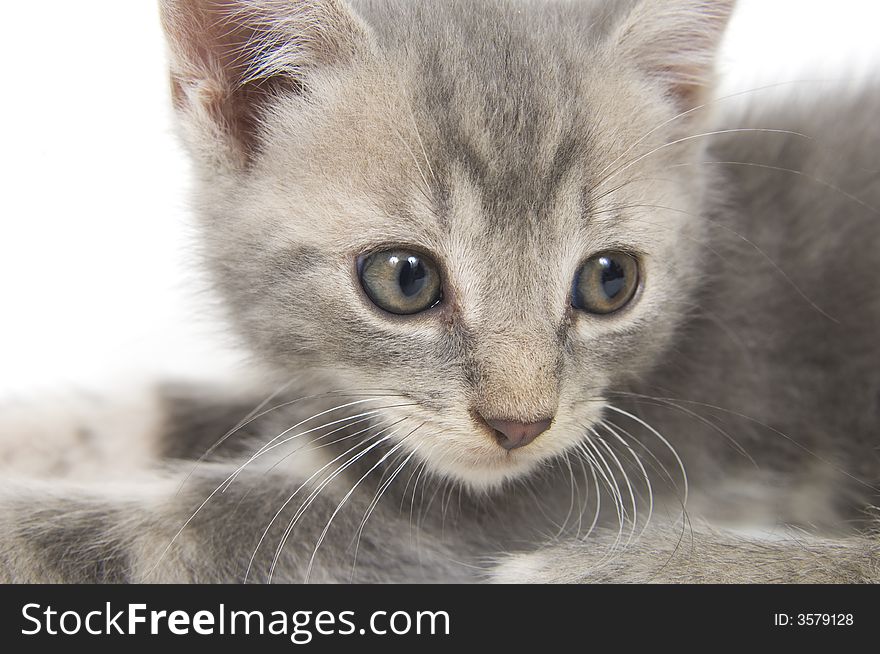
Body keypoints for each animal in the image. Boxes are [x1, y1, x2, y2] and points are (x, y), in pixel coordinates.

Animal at [1, 0, 880, 584]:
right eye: (404, 279)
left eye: (610, 281)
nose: (520, 425)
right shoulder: (334, 395)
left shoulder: (464, 518)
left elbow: (146, 533)